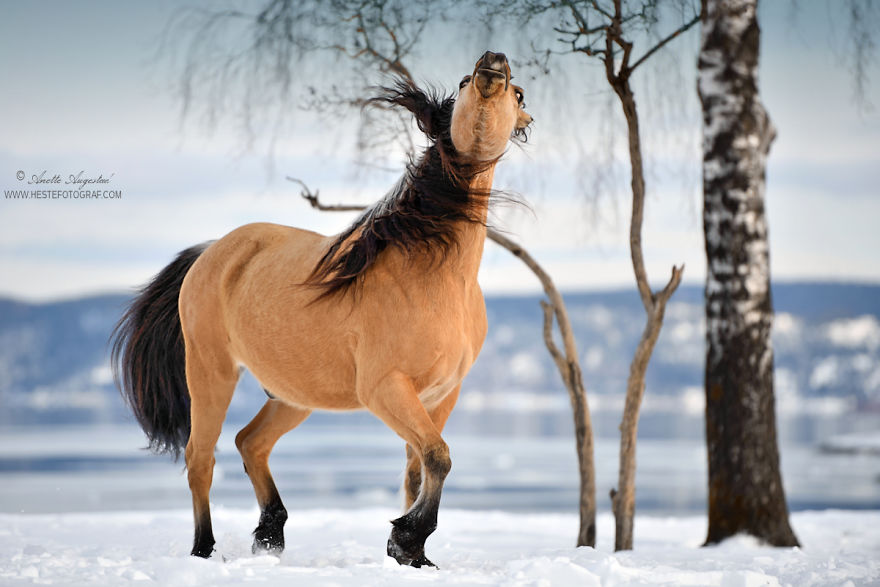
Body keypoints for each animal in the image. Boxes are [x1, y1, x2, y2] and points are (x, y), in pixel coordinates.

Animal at [111, 51, 532, 568]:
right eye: (464, 80)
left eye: (519, 94)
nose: (493, 63)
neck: (436, 281)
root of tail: (212, 251)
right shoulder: (385, 388)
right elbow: (439, 456)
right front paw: (407, 540)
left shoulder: (441, 395)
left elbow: (418, 467)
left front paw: (411, 554)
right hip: (210, 372)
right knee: (200, 458)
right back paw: (204, 550)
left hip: (293, 394)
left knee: (250, 442)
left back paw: (270, 535)